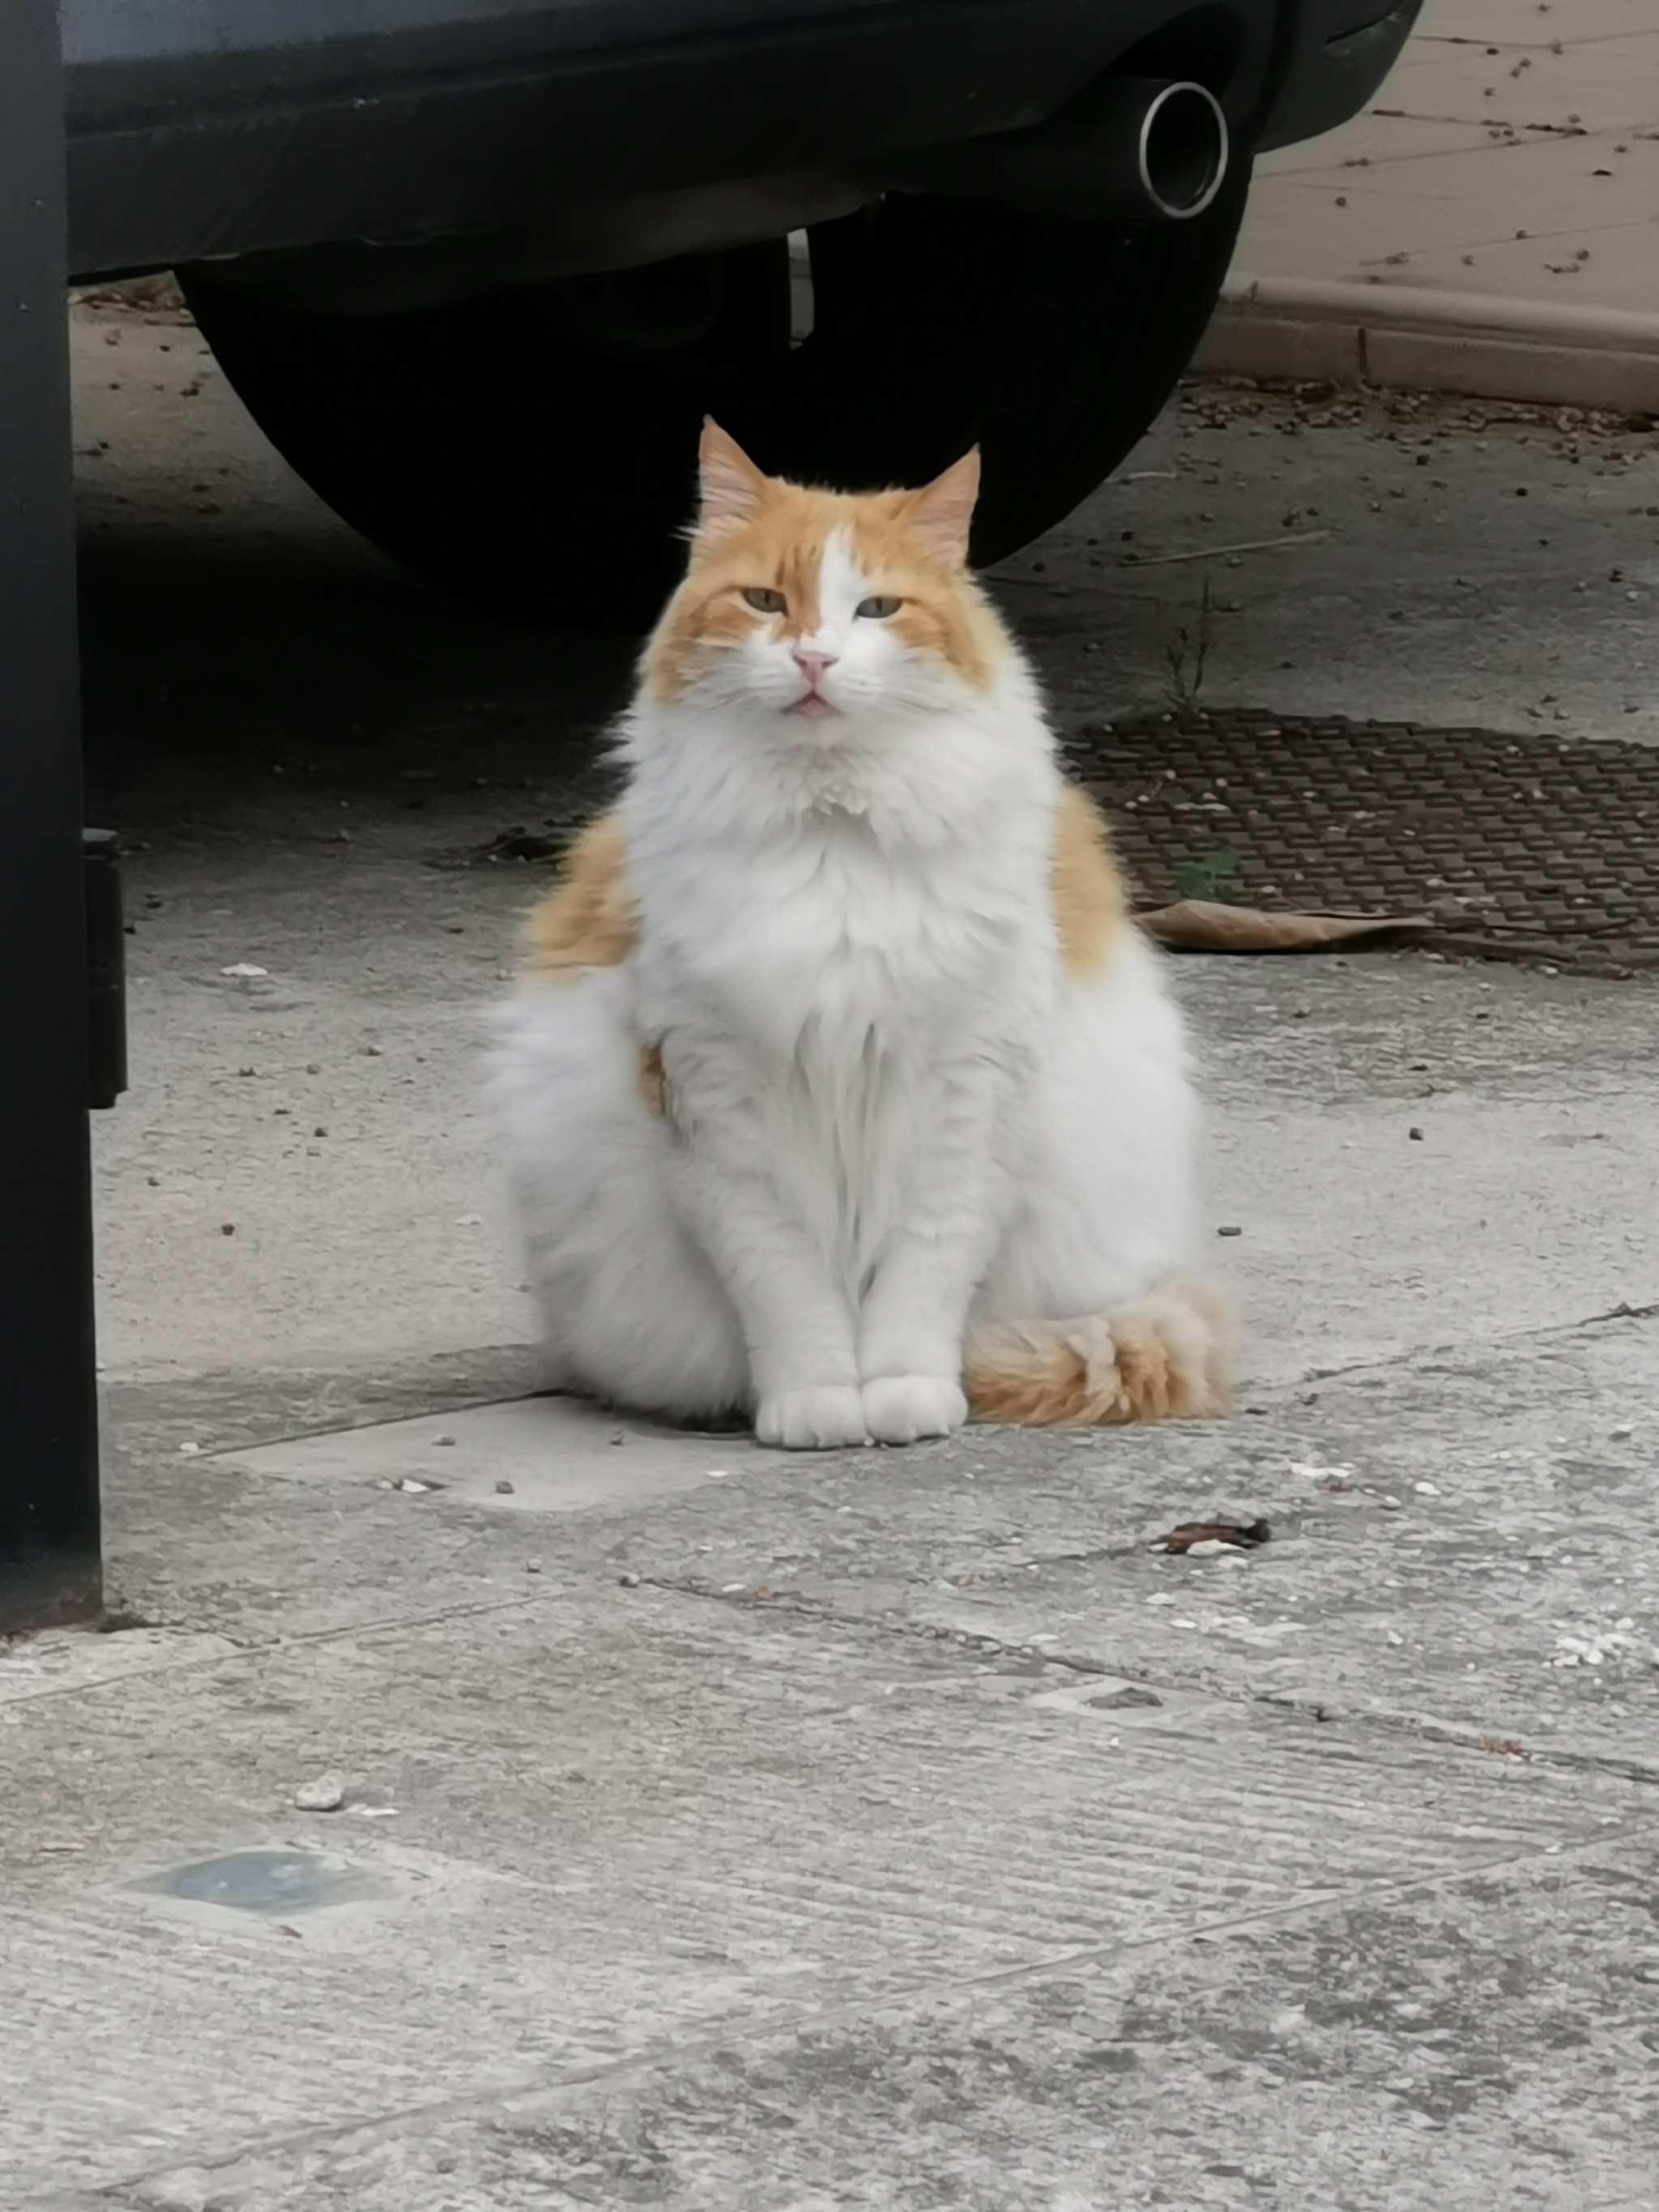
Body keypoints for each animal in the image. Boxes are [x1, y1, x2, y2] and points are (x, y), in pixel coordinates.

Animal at [486, 420, 1230, 1441]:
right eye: (764, 601)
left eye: (876, 609)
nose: (813, 660)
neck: (830, 831)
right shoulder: (716, 1101)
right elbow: (784, 1285)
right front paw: (814, 1404)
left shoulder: (966, 1098)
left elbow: (920, 1274)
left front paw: (906, 1396)